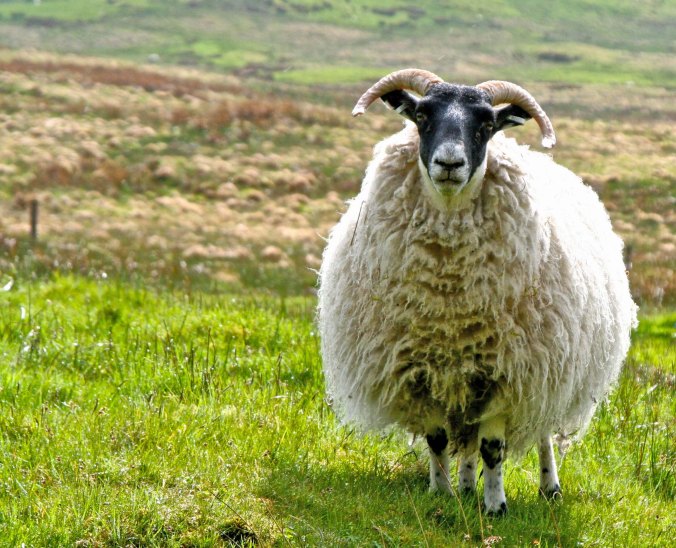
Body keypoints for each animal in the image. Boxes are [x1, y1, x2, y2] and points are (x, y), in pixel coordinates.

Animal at [317, 68, 637, 515]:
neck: (449, 298)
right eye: (421, 116)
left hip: (547, 370)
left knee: (539, 432)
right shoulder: (422, 372)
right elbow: (438, 440)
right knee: (465, 440)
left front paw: (496, 507)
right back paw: (466, 487)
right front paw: (442, 493)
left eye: (486, 124)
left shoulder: (508, 374)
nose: (449, 163)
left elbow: (493, 447)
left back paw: (548, 487)